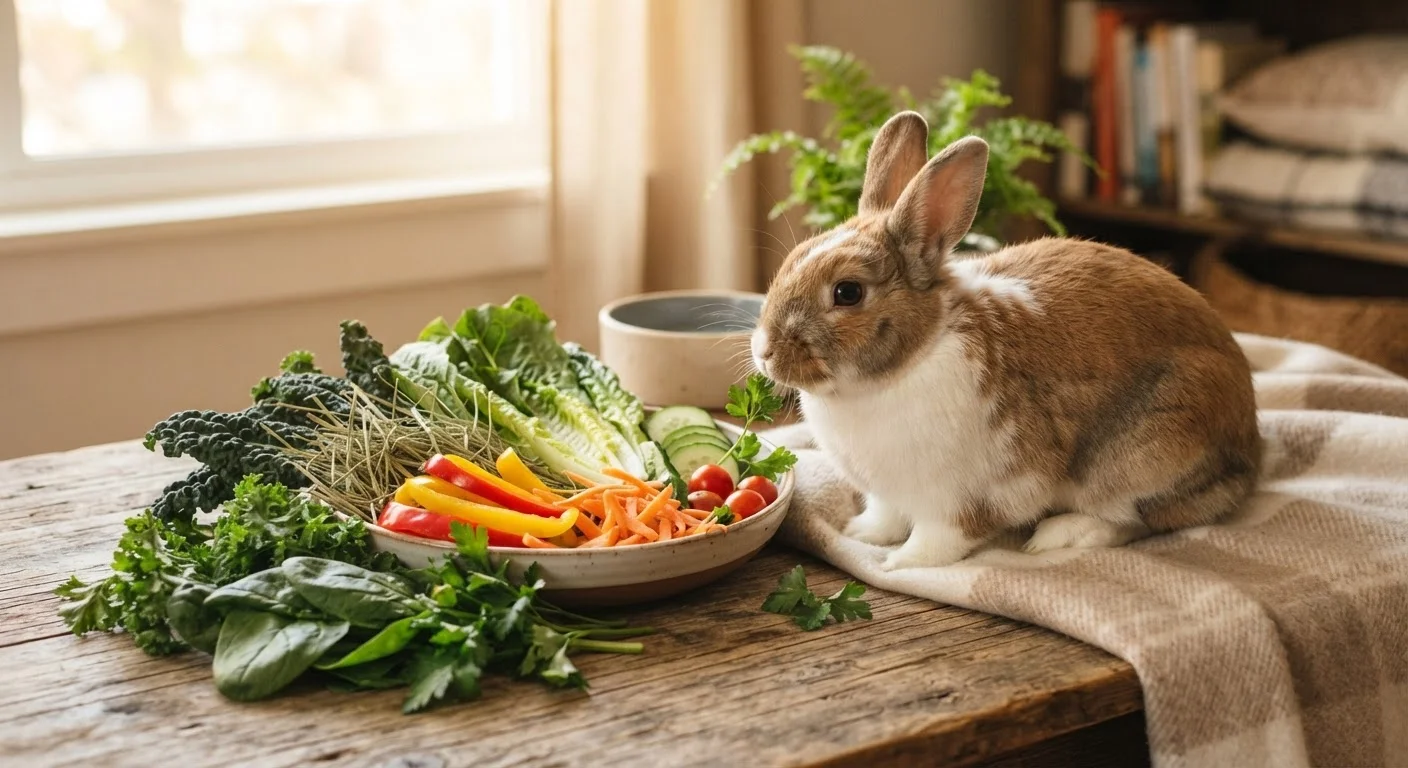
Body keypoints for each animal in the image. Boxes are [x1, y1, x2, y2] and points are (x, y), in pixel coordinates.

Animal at [750, 110, 1262, 570]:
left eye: (848, 292)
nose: (765, 352)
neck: (910, 361)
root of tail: (1251, 454)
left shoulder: (964, 497)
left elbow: (941, 538)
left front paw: (900, 563)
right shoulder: (888, 493)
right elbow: (886, 516)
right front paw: (862, 535)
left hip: (1143, 455)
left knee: (1137, 518)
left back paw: (1058, 535)